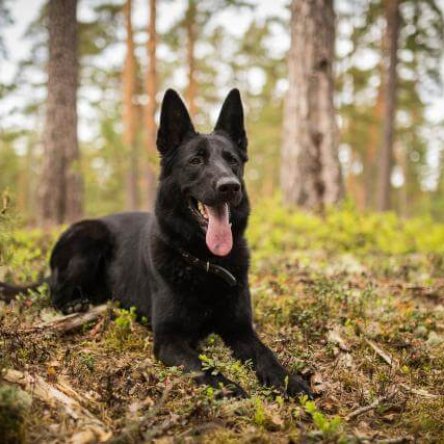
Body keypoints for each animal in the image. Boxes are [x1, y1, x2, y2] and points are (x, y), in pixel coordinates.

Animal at [1, 89, 312, 398]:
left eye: (232, 160)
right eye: (196, 161)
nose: (229, 186)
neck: (205, 262)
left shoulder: (240, 329)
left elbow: (265, 354)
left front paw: (289, 380)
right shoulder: (169, 339)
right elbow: (202, 366)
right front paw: (230, 390)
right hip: (90, 238)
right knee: (55, 293)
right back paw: (80, 304)